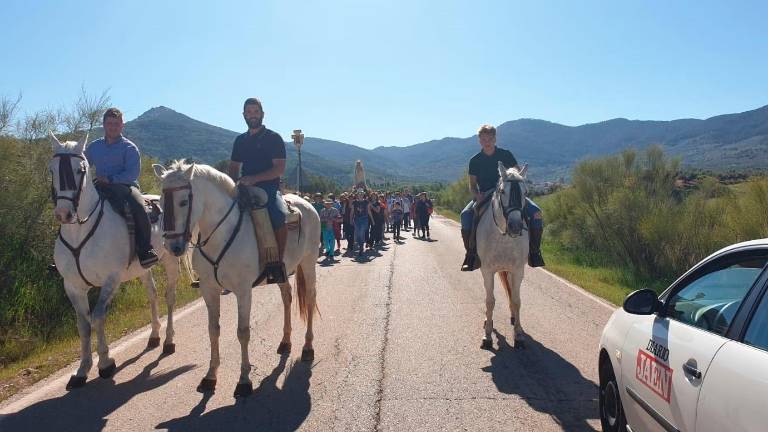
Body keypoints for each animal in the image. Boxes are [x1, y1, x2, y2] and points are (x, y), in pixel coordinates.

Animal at [50, 132, 183, 388]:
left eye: (80, 170)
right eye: (52, 169)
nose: (64, 214)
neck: (80, 233)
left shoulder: (111, 280)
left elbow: (98, 317)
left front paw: (105, 363)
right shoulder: (72, 287)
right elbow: (83, 325)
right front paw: (81, 371)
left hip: (170, 261)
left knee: (170, 297)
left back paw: (169, 341)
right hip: (143, 269)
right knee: (152, 294)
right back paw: (154, 336)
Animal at [156, 161, 320, 398]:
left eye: (183, 201)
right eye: (160, 202)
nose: (173, 247)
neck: (219, 235)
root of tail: (308, 204)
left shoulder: (243, 291)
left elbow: (242, 332)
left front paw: (244, 381)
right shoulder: (209, 290)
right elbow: (213, 330)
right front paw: (210, 376)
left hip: (308, 262)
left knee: (310, 297)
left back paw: (307, 347)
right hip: (283, 271)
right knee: (287, 297)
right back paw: (285, 342)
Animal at [476, 160, 532, 350]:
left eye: (525, 192)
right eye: (502, 191)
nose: (515, 226)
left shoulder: (518, 271)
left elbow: (517, 300)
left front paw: (518, 335)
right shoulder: (487, 271)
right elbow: (489, 301)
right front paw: (487, 336)